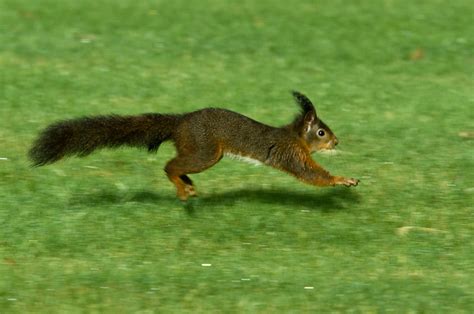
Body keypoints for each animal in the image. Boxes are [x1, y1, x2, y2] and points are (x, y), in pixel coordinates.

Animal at [28, 91, 360, 200]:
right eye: (321, 132)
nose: (337, 141)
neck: (295, 136)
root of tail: (180, 122)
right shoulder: (291, 154)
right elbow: (311, 174)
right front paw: (342, 179)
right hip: (206, 152)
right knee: (169, 165)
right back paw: (182, 188)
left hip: (196, 149)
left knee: (177, 165)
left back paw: (187, 185)